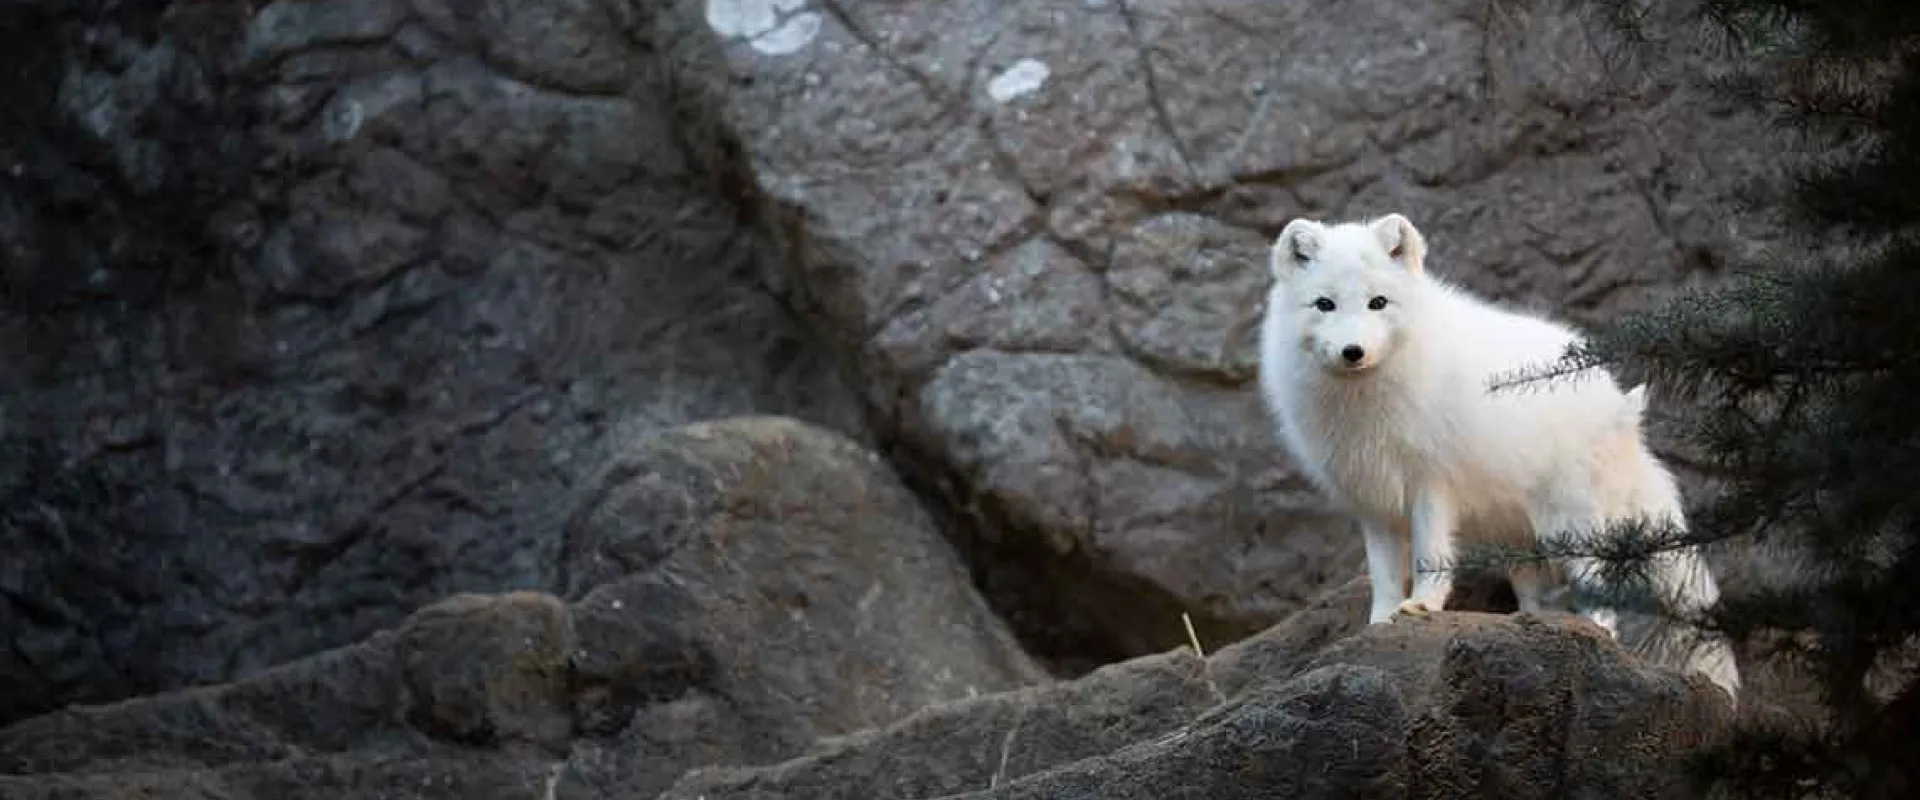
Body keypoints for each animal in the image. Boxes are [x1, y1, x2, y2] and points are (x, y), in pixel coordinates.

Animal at [1259, 211, 1743, 698]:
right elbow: (1383, 573)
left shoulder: (1432, 483)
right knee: (1532, 590)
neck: (1364, 404)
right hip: (1517, 536)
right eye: (1324, 304)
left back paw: (1596, 633)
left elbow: (1429, 556)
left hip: (1570, 523)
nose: (1353, 352)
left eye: (1378, 303)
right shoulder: (1371, 499)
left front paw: (1422, 605)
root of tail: (1618, 400)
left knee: (1601, 589)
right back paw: (1530, 625)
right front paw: (1379, 623)